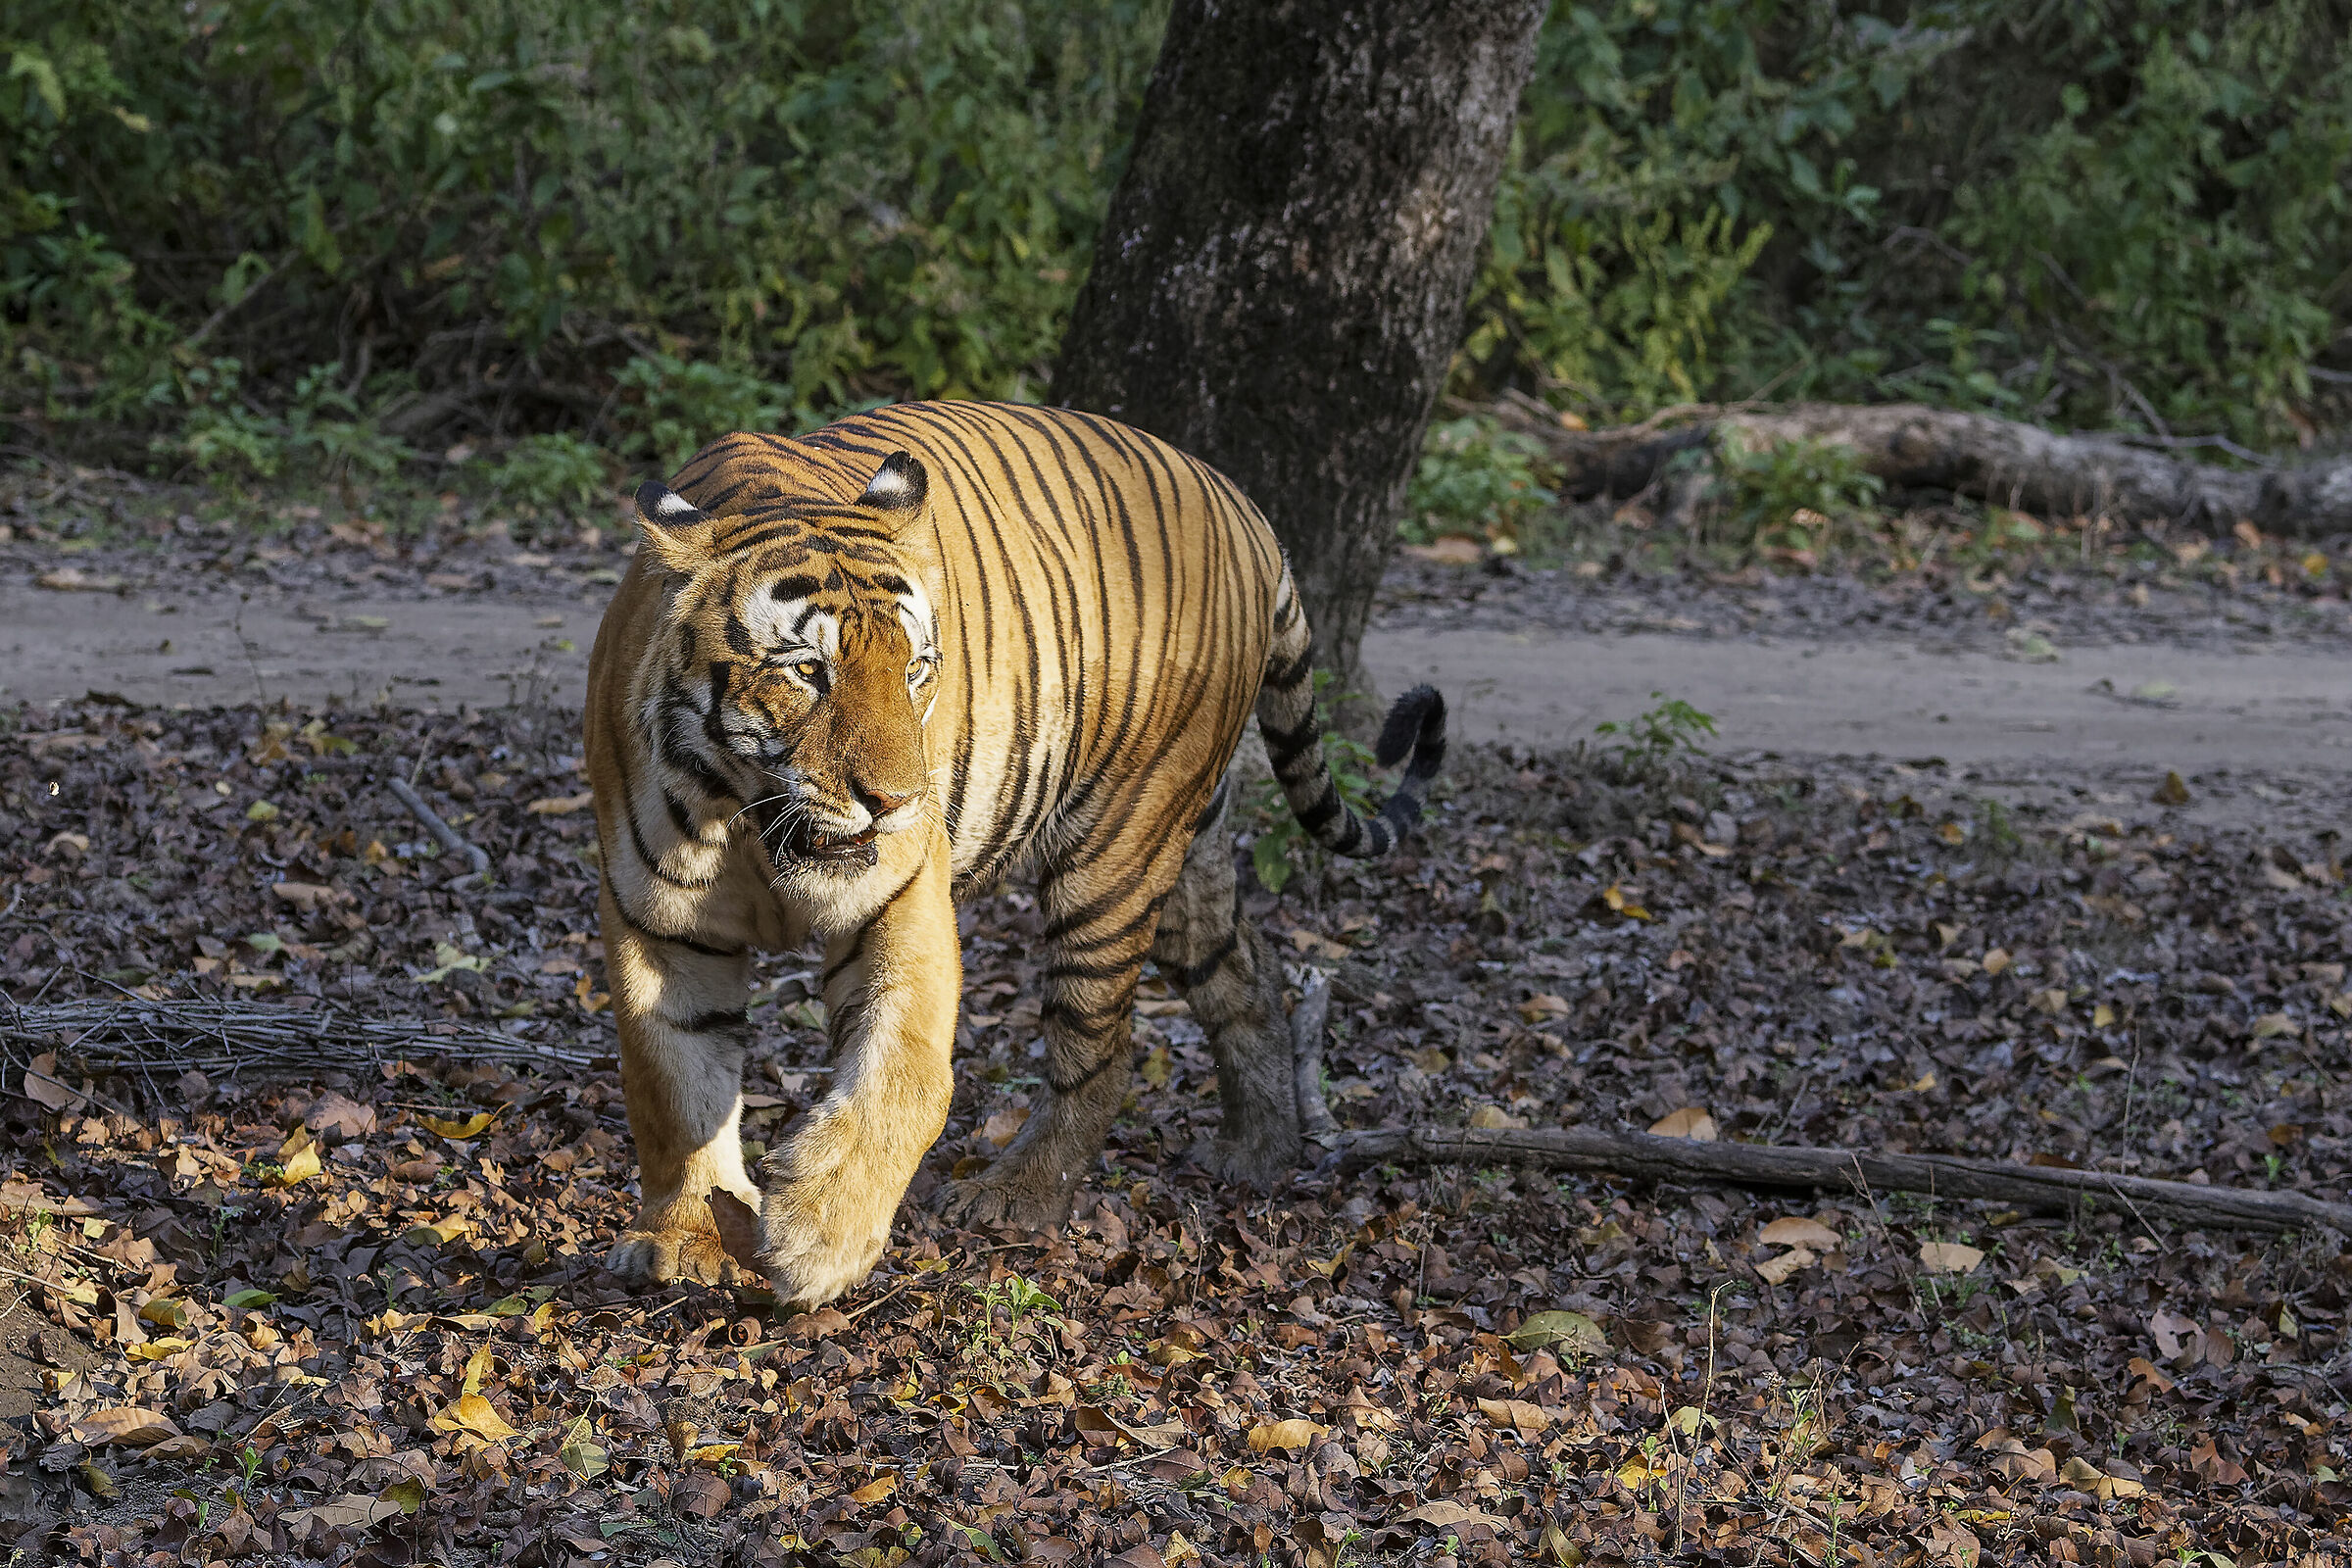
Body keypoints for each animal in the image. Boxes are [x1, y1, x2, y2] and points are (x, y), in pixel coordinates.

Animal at [584, 400, 1446, 1307]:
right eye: (808, 672)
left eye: (918, 669)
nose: (897, 802)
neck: (749, 823)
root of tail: (1245, 507)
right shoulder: (658, 924)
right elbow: (672, 1082)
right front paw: (682, 1238)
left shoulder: (903, 903)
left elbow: (909, 1075)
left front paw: (818, 1236)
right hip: (1188, 853)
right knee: (1246, 972)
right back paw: (1259, 1152)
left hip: (1117, 850)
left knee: (1102, 1045)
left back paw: (1018, 1194)